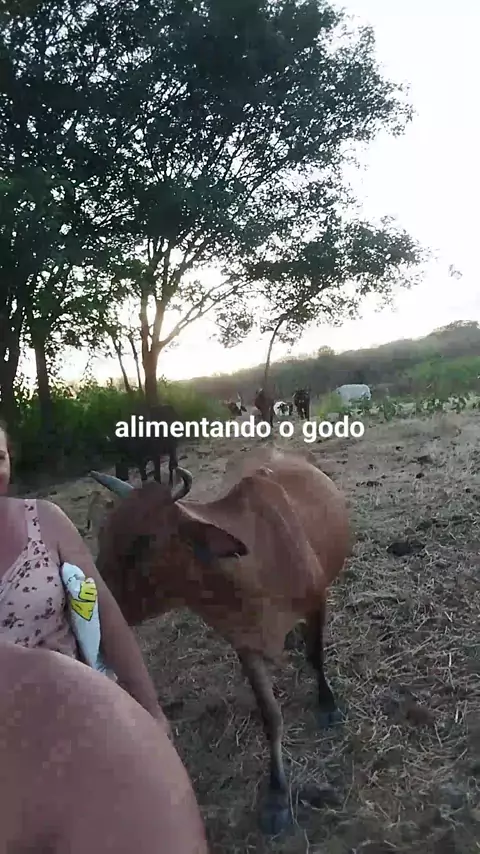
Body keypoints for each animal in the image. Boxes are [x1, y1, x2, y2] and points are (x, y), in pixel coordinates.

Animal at [90, 446, 351, 836]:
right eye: (103, 534)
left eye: (143, 542)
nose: (97, 597)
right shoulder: (243, 643)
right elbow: (270, 715)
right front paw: (277, 796)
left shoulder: (317, 602)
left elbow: (315, 656)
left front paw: (327, 704)